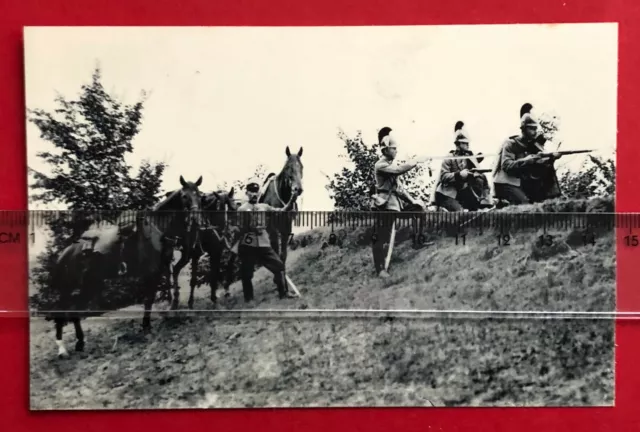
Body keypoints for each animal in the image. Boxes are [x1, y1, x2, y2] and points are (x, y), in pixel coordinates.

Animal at [47, 176, 202, 358]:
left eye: (199, 195)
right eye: (185, 196)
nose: (196, 218)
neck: (157, 229)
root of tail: (64, 254)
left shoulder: (162, 270)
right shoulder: (151, 272)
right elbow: (149, 299)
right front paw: (146, 328)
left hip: (90, 285)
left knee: (75, 310)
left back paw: (80, 342)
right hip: (72, 286)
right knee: (65, 310)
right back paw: (62, 348)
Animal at [256, 147, 304, 292]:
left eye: (302, 167)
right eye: (288, 167)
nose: (298, 189)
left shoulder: (286, 228)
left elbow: (282, 256)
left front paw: (285, 285)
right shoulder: (273, 230)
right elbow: (276, 254)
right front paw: (280, 284)